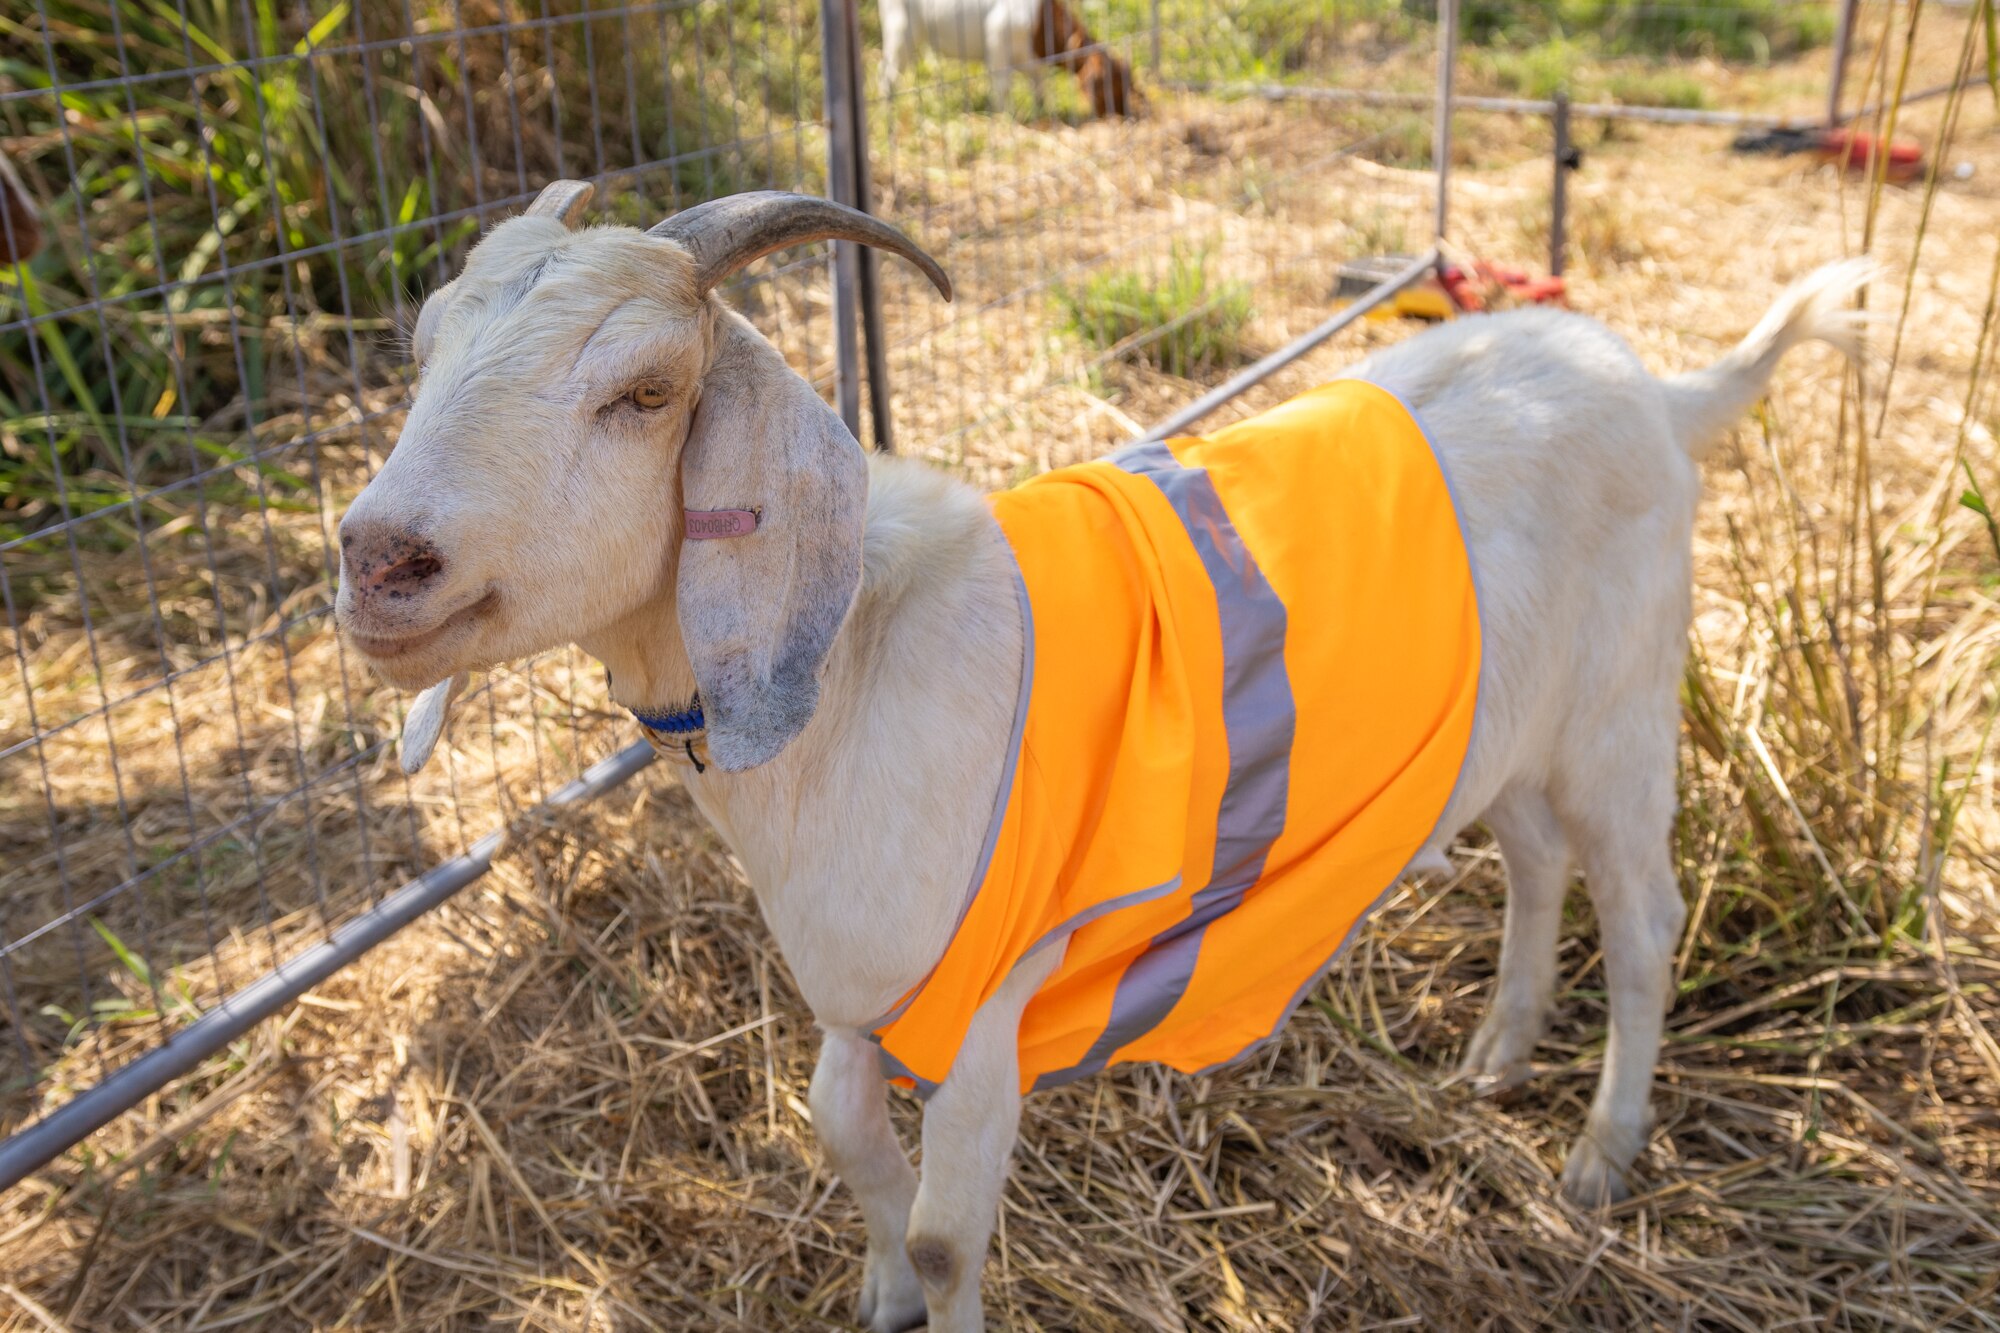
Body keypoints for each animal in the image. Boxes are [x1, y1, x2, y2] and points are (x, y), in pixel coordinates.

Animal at [335, 183, 1867, 1331]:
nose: (378, 560)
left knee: (1647, 915)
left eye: (646, 391)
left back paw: (1597, 1158)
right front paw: (879, 1288)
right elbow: (839, 1129)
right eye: (421, 345)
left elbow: (948, 1233)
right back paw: (1497, 1052)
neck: (855, 669)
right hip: (1518, 731)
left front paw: (921, 1283)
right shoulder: (861, 980)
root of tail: (1655, 387)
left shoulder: (995, 996)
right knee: (1539, 860)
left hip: (1621, 714)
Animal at [880, 0, 1140, 118]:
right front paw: (1004, 117)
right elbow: (1003, 86)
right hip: (900, 30)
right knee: (886, 72)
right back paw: (889, 108)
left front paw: (1041, 112)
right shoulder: (997, 42)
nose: (1124, 113)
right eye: (1109, 84)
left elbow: (1040, 84)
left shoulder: (1030, 60)